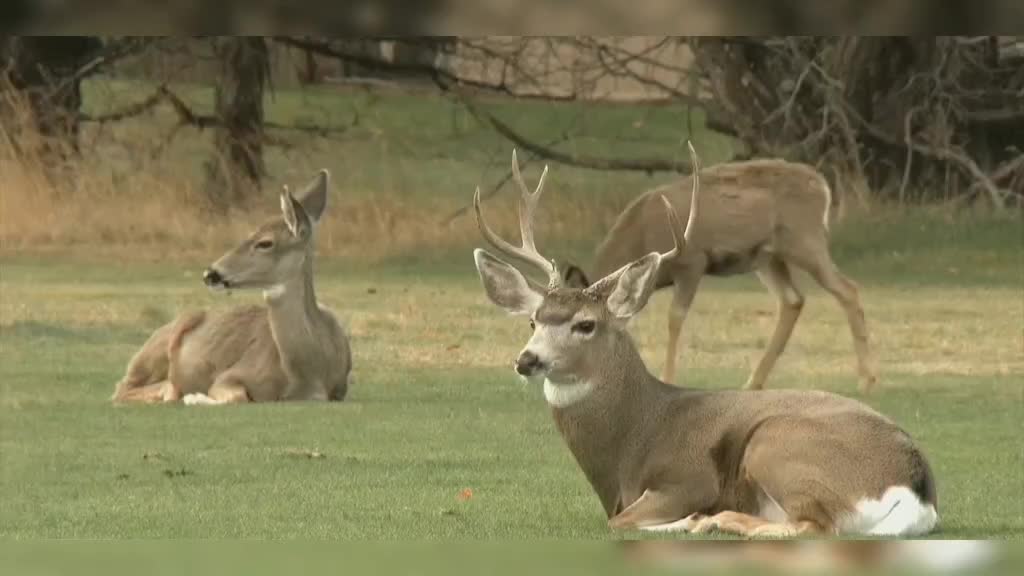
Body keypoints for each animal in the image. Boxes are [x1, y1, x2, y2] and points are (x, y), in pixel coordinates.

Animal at [111, 170, 352, 403]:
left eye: (265, 242)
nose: (210, 273)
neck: (308, 375)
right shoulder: (232, 374)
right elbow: (237, 397)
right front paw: (195, 397)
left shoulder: (339, 389)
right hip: (156, 347)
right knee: (122, 388)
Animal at [471, 147, 937, 532]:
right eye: (533, 322)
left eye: (585, 324)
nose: (527, 360)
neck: (631, 437)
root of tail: (916, 489)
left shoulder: (687, 478)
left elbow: (621, 522)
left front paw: (692, 519)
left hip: (775, 442)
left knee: (812, 525)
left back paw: (716, 520)